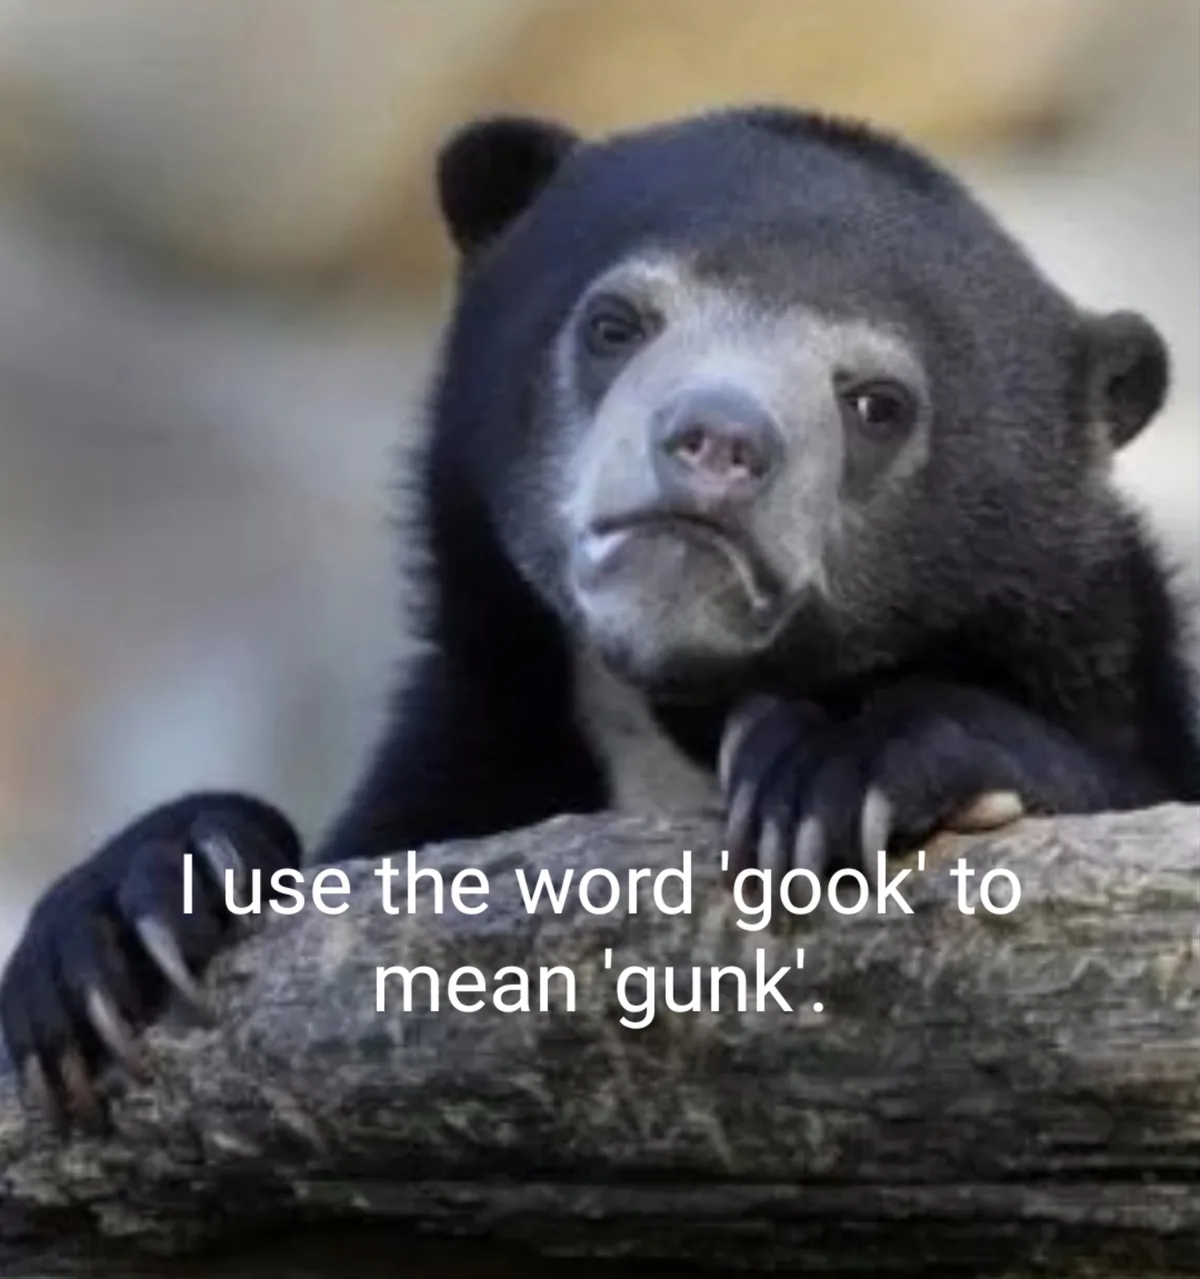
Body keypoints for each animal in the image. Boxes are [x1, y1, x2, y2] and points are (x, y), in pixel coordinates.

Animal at [3, 104, 1198, 1131]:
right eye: (616, 323)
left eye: (877, 404)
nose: (718, 440)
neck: (674, 723)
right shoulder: (473, 754)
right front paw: (126, 920)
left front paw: (835, 766)